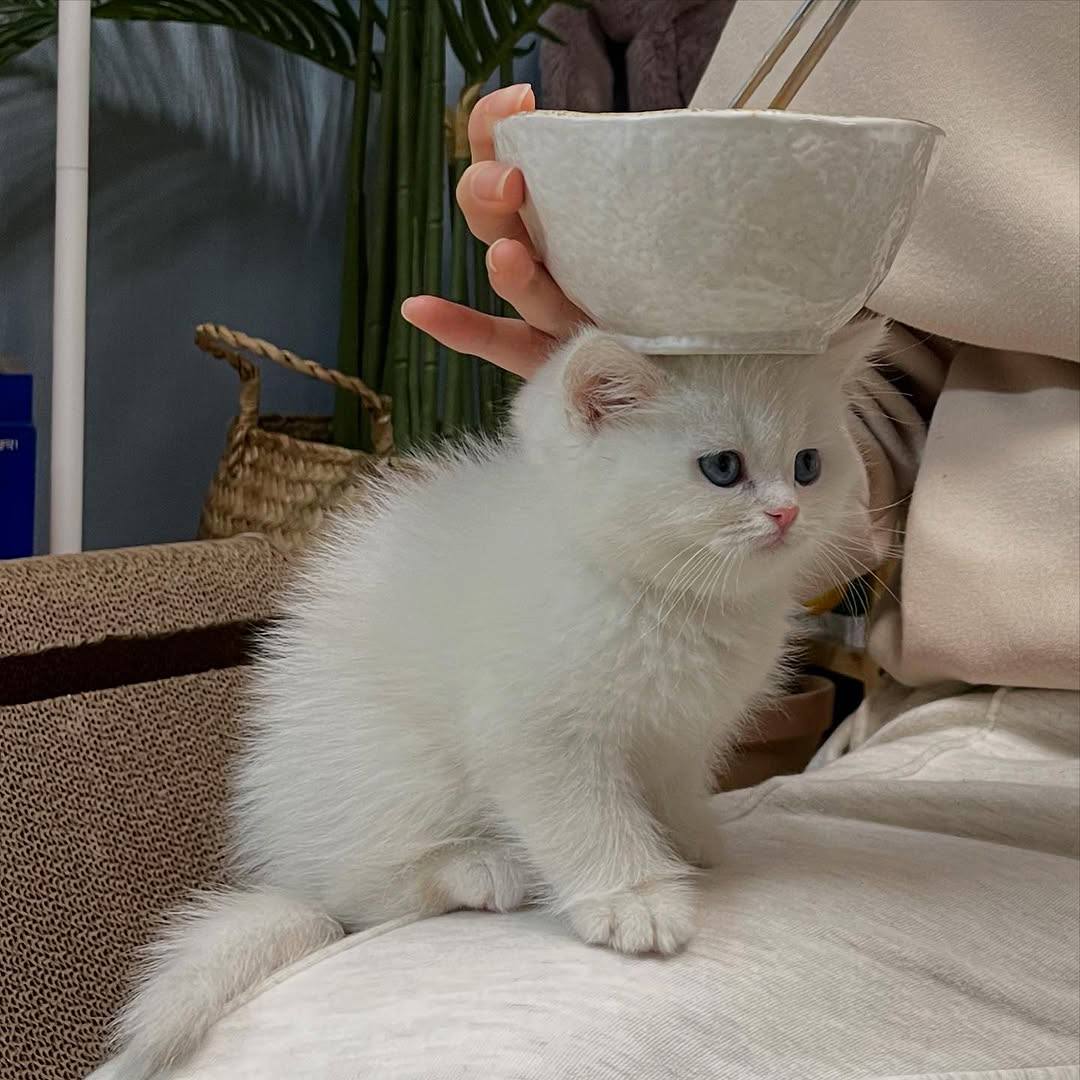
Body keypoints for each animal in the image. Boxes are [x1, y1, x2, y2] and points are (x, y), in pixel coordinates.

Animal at [100, 317, 884, 1080]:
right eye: (723, 468)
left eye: (808, 465)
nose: (786, 515)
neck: (665, 598)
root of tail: (291, 868)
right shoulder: (535, 732)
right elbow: (587, 817)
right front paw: (631, 897)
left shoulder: (684, 731)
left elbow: (675, 783)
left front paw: (687, 837)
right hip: (400, 766)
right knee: (356, 896)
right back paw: (478, 868)